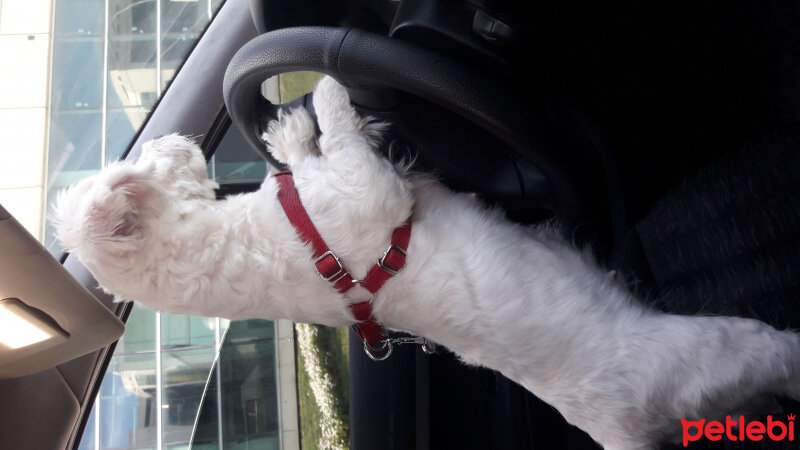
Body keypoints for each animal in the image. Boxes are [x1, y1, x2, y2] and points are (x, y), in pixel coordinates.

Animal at [56, 75, 800, 448]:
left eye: (147, 155)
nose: (174, 137)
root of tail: (629, 427)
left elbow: (306, 152)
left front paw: (292, 131)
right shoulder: (371, 195)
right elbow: (347, 142)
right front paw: (330, 92)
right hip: (725, 345)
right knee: (778, 353)